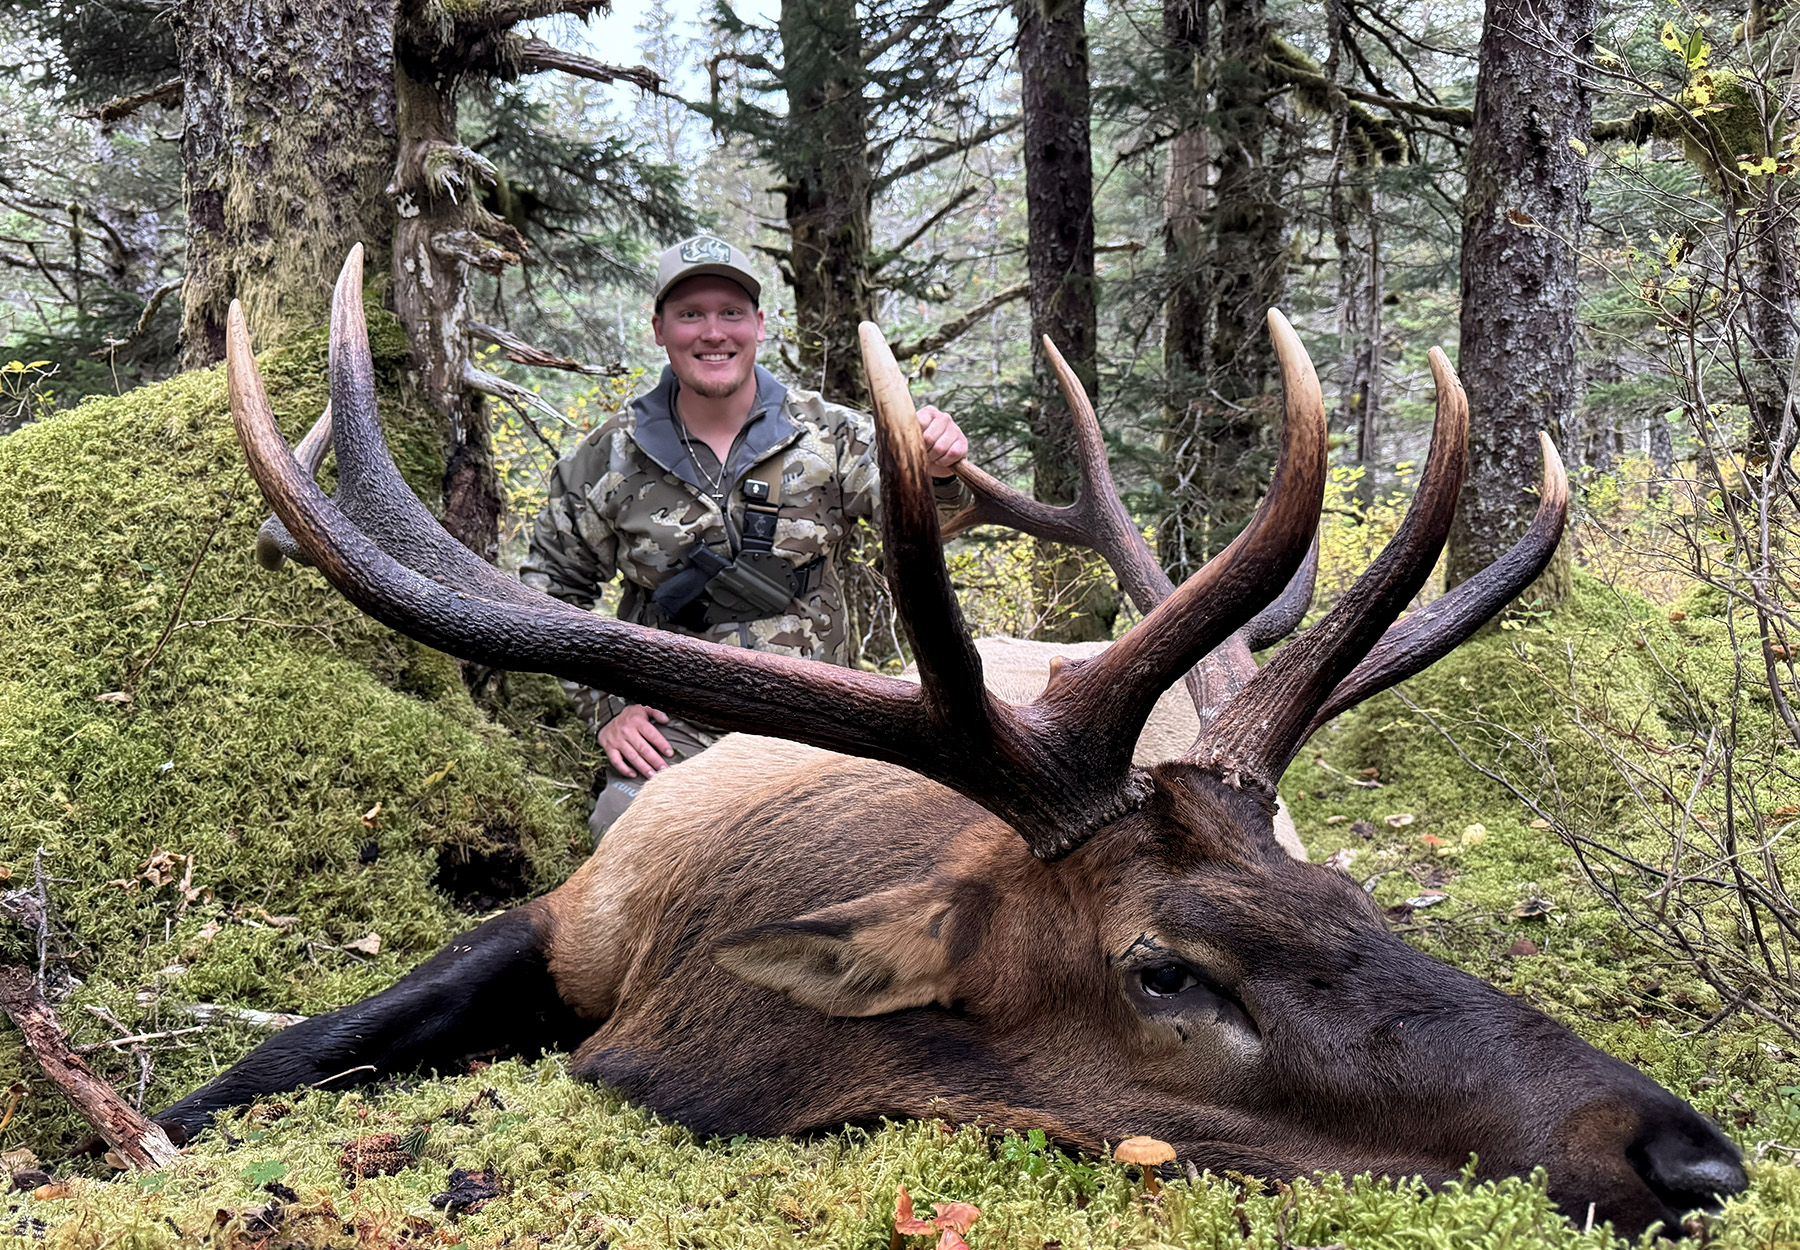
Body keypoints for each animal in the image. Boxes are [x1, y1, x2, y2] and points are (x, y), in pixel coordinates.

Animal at [155, 248, 1746, 1238]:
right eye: (1163, 968)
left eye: (1348, 896)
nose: (1691, 1153)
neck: (686, 966)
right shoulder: (569, 907)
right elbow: (282, 1051)